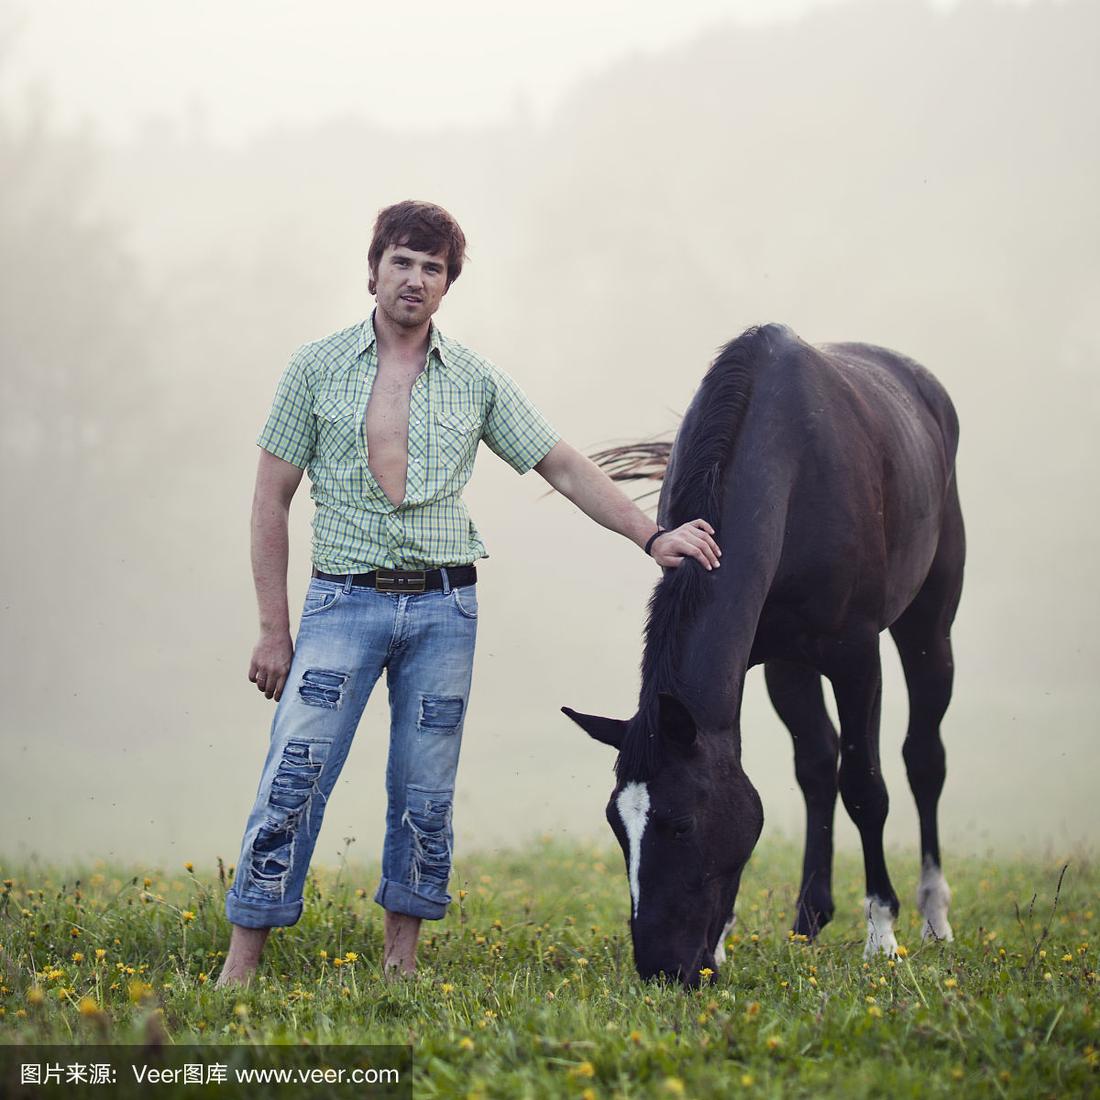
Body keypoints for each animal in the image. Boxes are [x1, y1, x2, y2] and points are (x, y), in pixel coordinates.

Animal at [563, 321, 968, 985]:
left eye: (680, 823)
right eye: (616, 825)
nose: (661, 967)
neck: (788, 464)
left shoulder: (857, 657)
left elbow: (866, 785)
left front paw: (881, 933)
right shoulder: (760, 662)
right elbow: (780, 773)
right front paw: (726, 938)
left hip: (929, 628)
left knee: (922, 759)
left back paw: (934, 914)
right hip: (791, 666)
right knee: (817, 766)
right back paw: (809, 918)